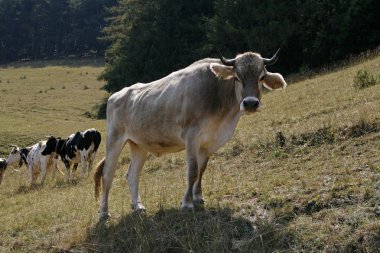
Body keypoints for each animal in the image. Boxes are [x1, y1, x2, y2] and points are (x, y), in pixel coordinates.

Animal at [93, 48, 286, 220]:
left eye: (261, 77)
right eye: (237, 78)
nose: (250, 103)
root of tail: (117, 95)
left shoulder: (208, 142)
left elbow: (201, 170)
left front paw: (198, 197)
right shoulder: (192, 136)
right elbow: (192, 171)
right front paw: (187, 203)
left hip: (139, 144)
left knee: (132, 175)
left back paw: (138, 206)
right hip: (114, 139)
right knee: (107, 175)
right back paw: (103, 213)